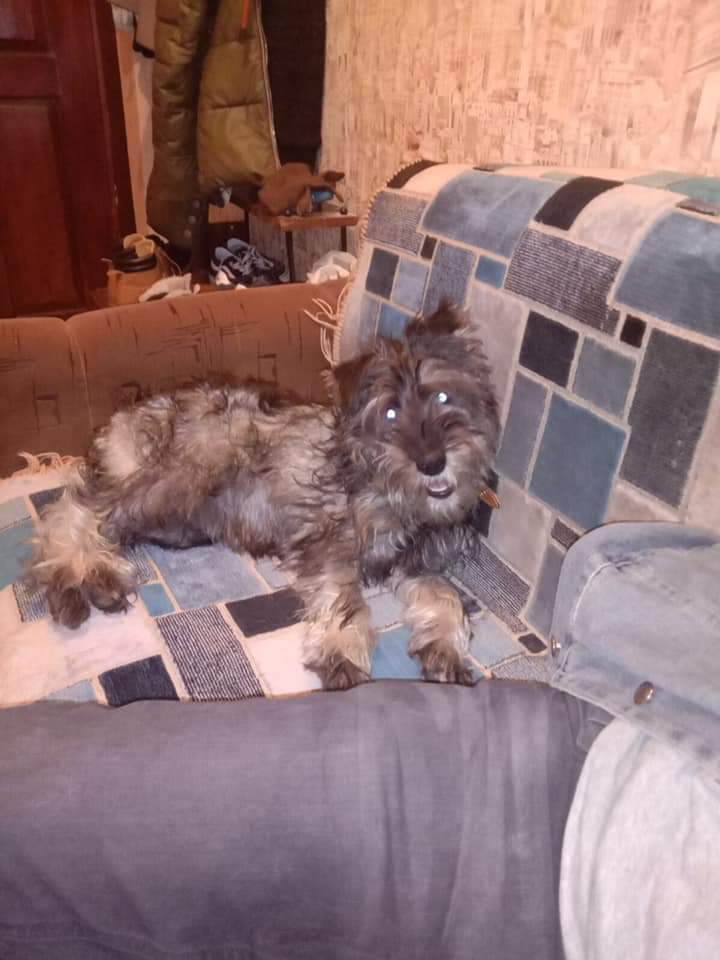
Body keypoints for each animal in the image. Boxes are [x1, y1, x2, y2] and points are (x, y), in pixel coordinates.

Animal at [31, 304, 499, 690]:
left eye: (444, 396)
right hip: (181, 477)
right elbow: (344, 598)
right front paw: (341, 650)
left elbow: (445, 595)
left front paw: (445, 649)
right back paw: (80, 579)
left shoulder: (417, 561)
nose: (433, 462)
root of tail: (124, 415)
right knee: (76, 512)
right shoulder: (329, 543)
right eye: (389, 412)